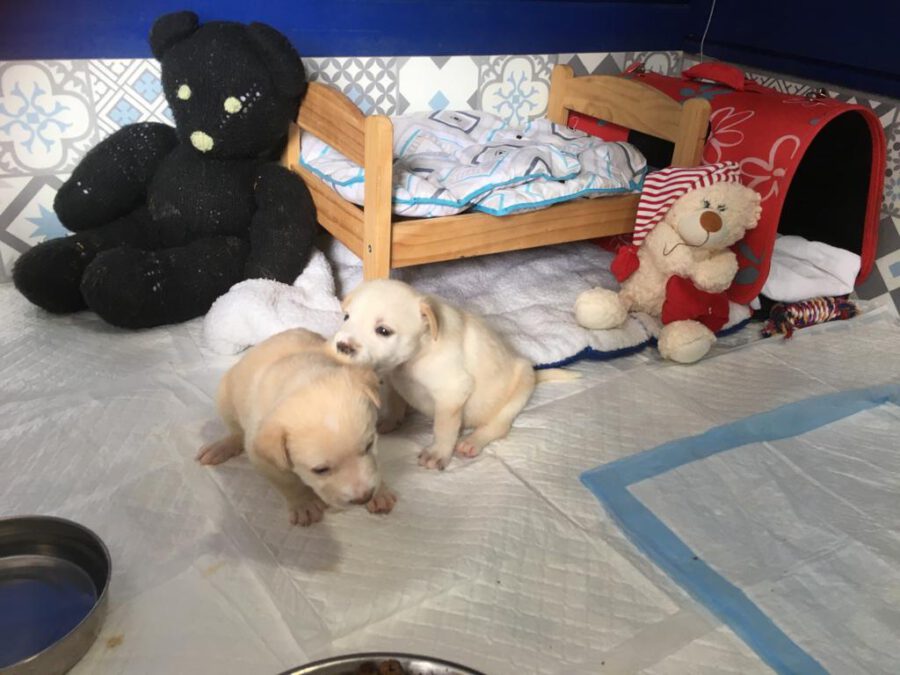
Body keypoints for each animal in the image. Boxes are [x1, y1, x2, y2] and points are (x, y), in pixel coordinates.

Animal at [197, 328, 396, 525]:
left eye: (369, 445)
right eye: (320, 470)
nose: (364, 497)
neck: (303, 376)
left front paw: (380, 492)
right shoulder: (263, 456)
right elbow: (287, 481)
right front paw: (304, 504)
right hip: (225, 398)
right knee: (235, 431)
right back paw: (221, 447)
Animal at [333, 279, 573, 470]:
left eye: (383, 331)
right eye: (347, 317)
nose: (342, 346)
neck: (418, 353)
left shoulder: (452, 393)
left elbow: (444, 427)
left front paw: (437, 453)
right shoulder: (394, 377)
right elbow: (395, 400)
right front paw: (391, 420)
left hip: (520, 387)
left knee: (499, 426)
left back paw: (473, 441)